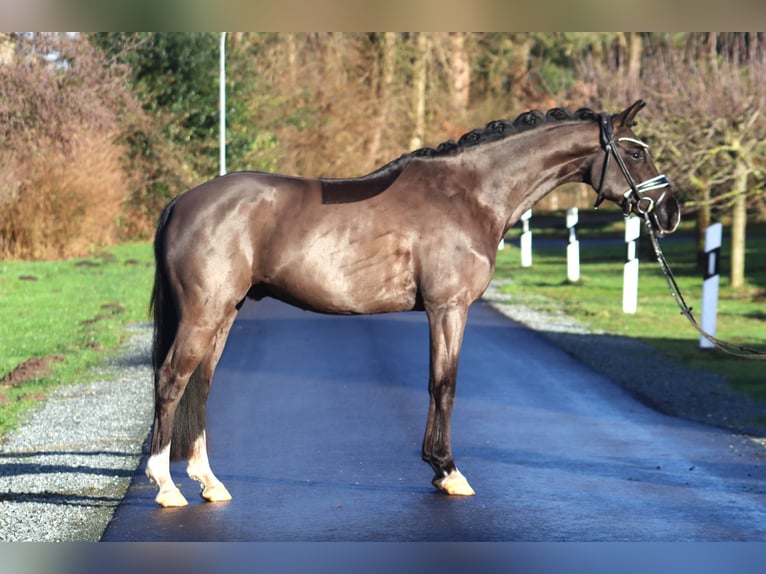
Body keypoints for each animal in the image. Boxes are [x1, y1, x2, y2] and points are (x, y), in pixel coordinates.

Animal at [147, 100, 680, 508]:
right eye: (636, 152)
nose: (671, 212)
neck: (470, 195)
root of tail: (181, 203)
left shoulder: (444, 310)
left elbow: (438, 384)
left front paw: (440, 469)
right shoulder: (448, 308)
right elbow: (443, 385)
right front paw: (448, 471)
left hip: (224, 314)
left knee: (201, 384)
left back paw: (209, 482)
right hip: (204, 314)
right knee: (172, 380)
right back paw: (166, 485)